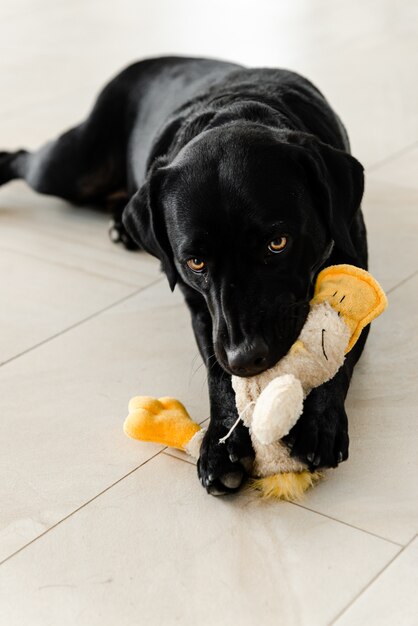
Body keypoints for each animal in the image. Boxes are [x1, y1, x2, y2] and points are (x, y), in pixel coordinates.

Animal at [0, 58, 368, 494]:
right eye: (195, 263)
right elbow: (216, 372)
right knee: (26, 158)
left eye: (277, 242)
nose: (245, 358)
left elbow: (338, 352)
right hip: (71, 168)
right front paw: (221, 444)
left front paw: (319, 424)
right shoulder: (204, 312)